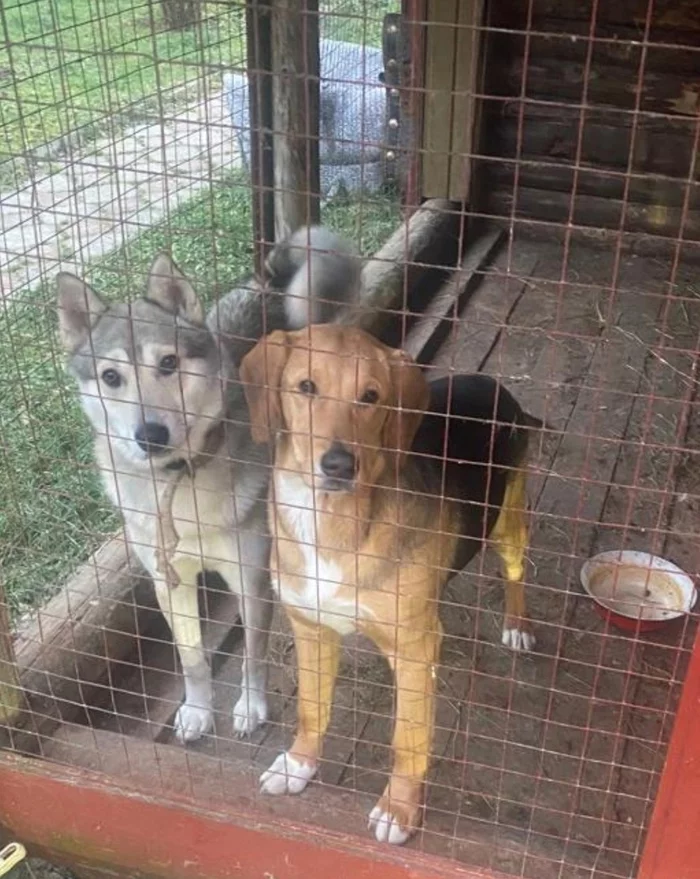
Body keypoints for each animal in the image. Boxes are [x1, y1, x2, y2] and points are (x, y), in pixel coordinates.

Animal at [56, 225, 360, 744]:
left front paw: (251, 707)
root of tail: (267, 284)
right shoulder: (169, 580)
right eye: (111, 376)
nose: (150, 434)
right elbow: (193, 659)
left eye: (168, 363)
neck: (180, 484)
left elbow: (253, 655)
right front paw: (197, 710)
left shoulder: (251, 579)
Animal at [241, 324, 540, 844]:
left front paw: (398, 809)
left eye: (371, 396)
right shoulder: (310, 627)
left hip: (508, 518)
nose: (340, 465)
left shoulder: (415, 649)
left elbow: (408, 740)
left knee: (515, 570)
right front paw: (299, 764)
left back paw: (517, 624)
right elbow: (310, 709)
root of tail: (493, 384)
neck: (330, 523)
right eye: (305, 387)